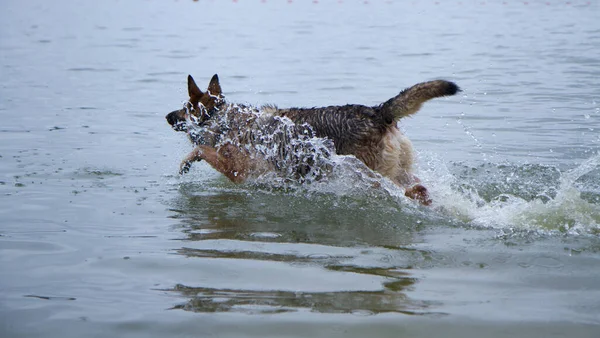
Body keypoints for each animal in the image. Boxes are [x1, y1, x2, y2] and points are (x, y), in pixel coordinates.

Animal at [166, 75, 462, 205]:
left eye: (184, 108)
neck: (224, 119)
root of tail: (377, 112)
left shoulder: (238, 171)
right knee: (420, 188)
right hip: (397, 172)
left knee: (411, 190)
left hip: (376, 175)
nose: (166, 116)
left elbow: (200, 150)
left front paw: (185, 163)